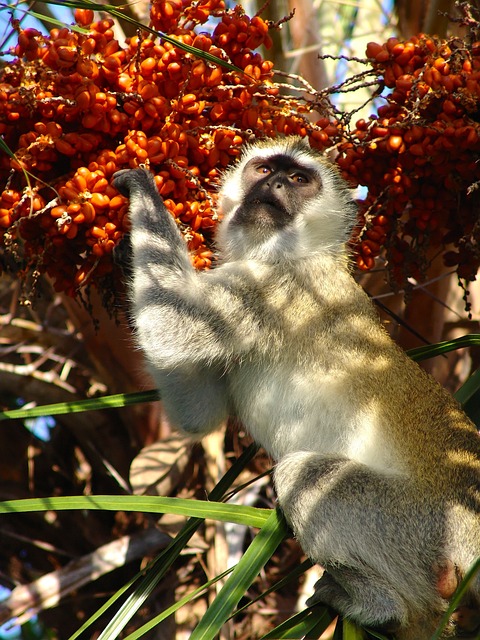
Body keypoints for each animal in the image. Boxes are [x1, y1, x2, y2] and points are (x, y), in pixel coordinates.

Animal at [113, 136, 480, 639]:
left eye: (300, 178)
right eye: (264, 169)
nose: (275, 185)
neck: (293, 253)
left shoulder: (274, 289)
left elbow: (171, 326)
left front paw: (142, 188)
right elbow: (198, 414)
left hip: (417, 526)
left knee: (304, 475)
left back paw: (380, 606)